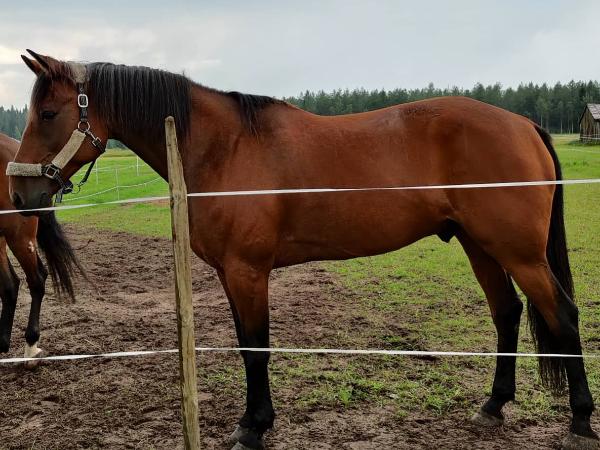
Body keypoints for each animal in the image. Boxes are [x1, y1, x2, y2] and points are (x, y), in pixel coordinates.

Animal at [8, 49, 597, 450]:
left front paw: (254, 428)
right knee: (508, 313)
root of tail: (523, 124)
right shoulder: (230, 274)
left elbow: (257, 347)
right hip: (481, 246)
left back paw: (580, 421)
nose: (18, 194)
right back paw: (493, 406)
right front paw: (251, 421)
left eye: (49, 113)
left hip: (519, 252)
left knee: (563, 316)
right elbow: (246, 345)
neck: (224, 148)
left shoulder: (249, 271)